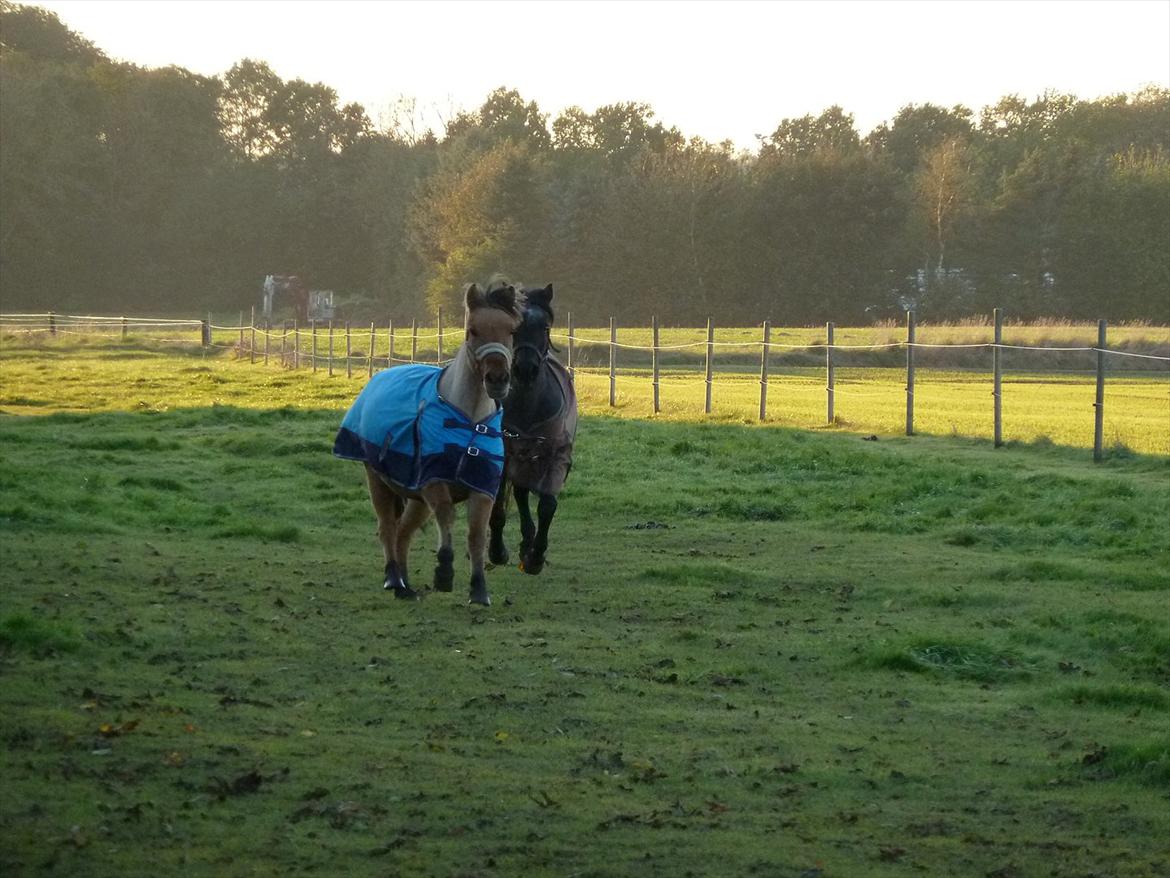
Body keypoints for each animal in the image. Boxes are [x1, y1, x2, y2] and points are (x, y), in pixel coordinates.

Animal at [336, 282, 524, 604]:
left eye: (511, 330)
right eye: (472, 330)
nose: (498, 378)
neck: (469, 422)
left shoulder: (482, 490)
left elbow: (476, 536)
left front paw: (479, 590)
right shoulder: (434, 482)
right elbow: (446, 516)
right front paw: (444, 572)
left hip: (415, 498)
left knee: (403, 533)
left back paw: (405, 584)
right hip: (379, 482)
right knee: (387, 528)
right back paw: (393, 579)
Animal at [489, 283, 575, 578]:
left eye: (545, 327)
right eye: (512, 328)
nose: (526, 369)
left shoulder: (553, 454)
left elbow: (547, 504)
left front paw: (536, 556)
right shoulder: (504, 453)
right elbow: (498, 504)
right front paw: (497, 551)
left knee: (523, 492)